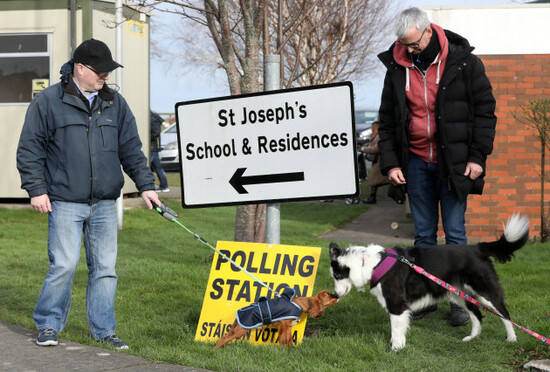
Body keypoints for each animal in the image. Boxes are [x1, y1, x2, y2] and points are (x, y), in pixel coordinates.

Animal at [330, 214, 532, 350]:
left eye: (337, 276)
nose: (335, 295)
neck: (368, 263)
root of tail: (478, 248)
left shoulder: (397, 304)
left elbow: (396, 329)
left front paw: (395, 349)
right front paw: (397, 346)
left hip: (485, 290)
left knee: (504, 313)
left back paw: (511, 339)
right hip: (458, 293)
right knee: (477, 314)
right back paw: (472, 338)